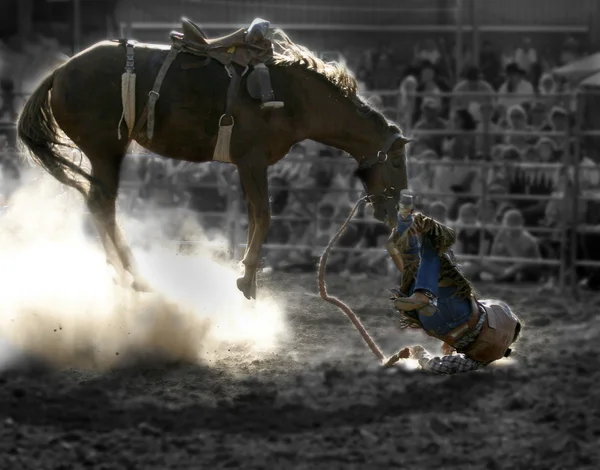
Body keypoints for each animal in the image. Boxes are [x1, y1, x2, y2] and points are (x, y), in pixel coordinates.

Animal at [16, 29, 410, 300]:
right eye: (396, 162)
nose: (395, 210)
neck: (295, 98)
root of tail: (59, 72)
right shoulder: (252, 161)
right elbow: (264, 214)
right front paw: (247, 278)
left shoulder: (249, 166)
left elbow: (254, 215)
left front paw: (247, 274)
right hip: (105, 150)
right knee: (102, 205)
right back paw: (135, 275)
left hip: (105, 153)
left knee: (99, 205)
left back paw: (123, 274)